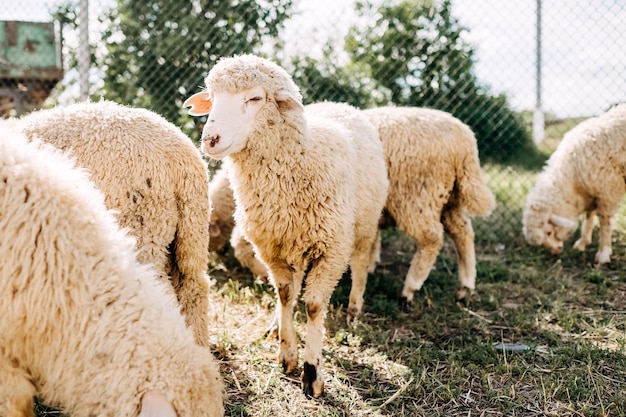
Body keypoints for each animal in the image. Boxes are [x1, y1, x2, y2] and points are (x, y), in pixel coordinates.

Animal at [182, 54, 386, 396]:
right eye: (211, 99)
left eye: (255, 98)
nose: (210, 140)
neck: (302, 159)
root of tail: (339, 104)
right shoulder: (272, 247)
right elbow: (286, 295)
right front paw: (287, 353)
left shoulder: (331, 249)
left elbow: (314, 305)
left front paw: (312, 372)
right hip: (295, 242)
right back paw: (277, 324)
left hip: (363, 225)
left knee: (359, 264)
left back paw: (354, 308)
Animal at [364, 105, 494, 302]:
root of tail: (464, 139)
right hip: (449, 199)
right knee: (462, 231)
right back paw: (465, 286)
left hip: (415, 196)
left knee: (431, 237)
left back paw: (410, 288)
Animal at [520, 103, 624, 264]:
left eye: (549, 232)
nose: (556, 252)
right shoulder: (592, 190)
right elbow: (589, 215)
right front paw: (583, 243)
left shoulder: (609, 189)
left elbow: (604, 221)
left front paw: (604, 253)